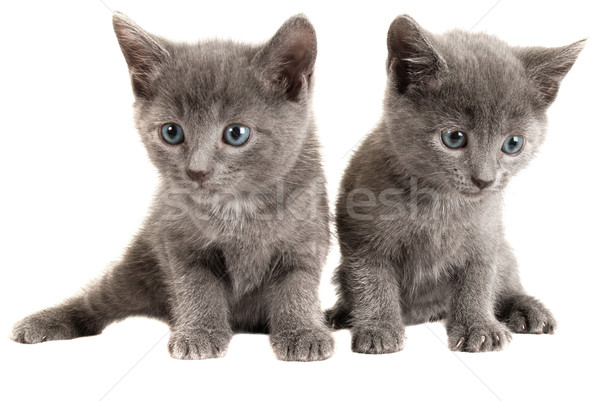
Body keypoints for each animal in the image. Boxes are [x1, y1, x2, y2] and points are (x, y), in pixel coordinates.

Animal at [11, 12, 336, 360]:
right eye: (171, 132)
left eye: (236, 133)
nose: (196, 171)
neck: (237, 207)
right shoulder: (179, 242)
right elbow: (197, 286)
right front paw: (199, 332)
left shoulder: (305, 239)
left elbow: (297, 286)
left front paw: (303, 331)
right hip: (139, 262)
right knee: (97, 301)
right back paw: (45, 321)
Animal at [326, 14, 584, 352]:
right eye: (454, 137)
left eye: (513, 143)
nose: (484, 179)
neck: (438, 202)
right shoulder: (362, 240)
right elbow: (372, 281)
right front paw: (378, 328)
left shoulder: (486, 235)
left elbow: (478, 280)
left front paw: (478, 326)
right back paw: (341, 314)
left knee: (507, 280)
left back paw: (527, 309)